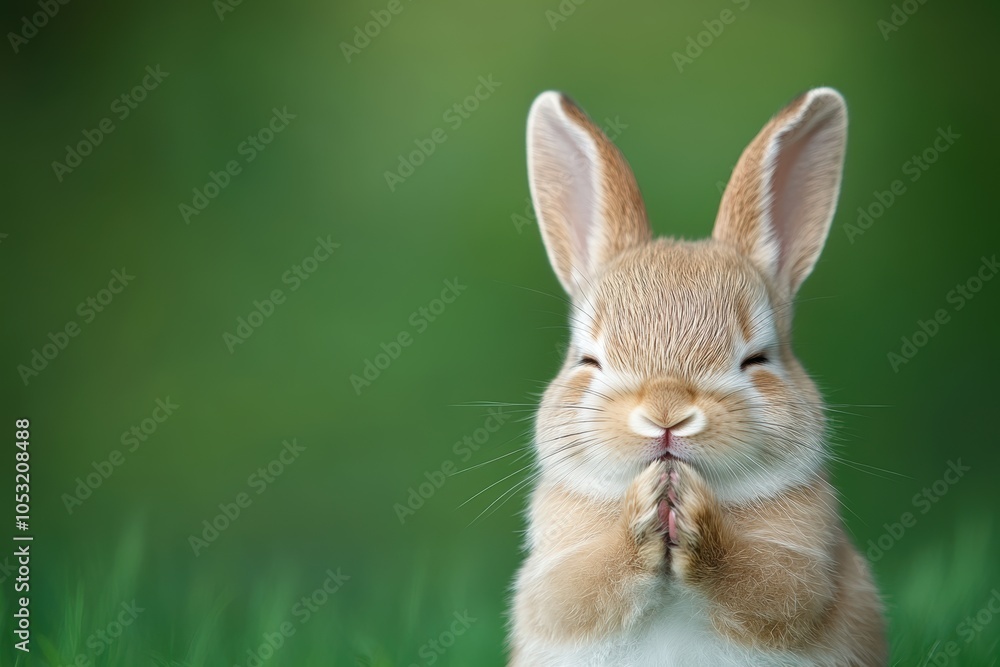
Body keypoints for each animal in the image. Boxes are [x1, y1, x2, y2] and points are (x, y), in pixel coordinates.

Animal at [507, 88, 887, 666]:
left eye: (757, 360)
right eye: (588, 361)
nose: (666, 416)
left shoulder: (806, 568)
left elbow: (767, 587)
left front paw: (690, 514)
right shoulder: (555, 574)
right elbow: (580, 589)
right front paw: (646, 511)